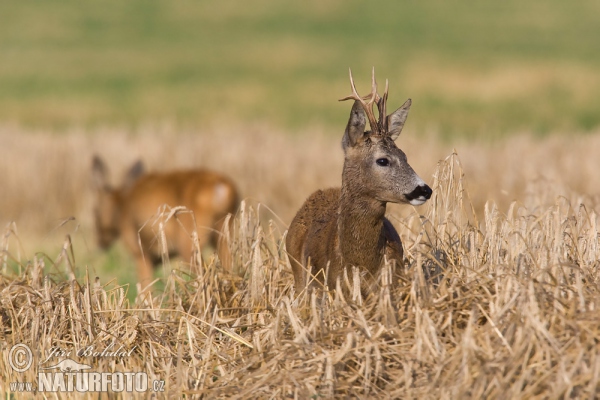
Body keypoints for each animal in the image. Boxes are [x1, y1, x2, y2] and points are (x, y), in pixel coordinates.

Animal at [91, 155, 239, 286]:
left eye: (95, 212)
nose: (99, 243)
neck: (122, 208)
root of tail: (223, 187)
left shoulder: (140, 254)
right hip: (223, 233)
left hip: (189, 241)